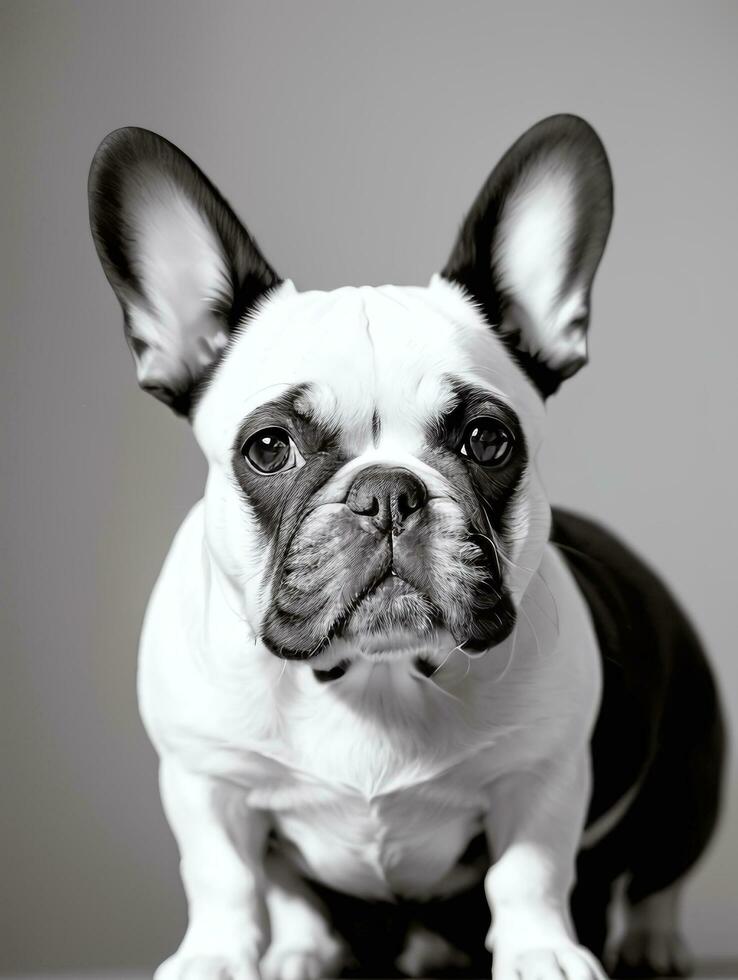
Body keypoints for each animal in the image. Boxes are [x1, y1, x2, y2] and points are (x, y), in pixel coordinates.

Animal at [89, 117, 720, 980]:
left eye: (487, 440)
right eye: (269, 448)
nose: (388, 492)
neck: (377, 677)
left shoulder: (542, 773)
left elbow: (530, 871)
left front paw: (541, 952)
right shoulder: (204, 776)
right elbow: (222, 877)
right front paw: (214, 958)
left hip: (687, 783)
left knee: (659, 872)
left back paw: (653, 943)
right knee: (290, 888)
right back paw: (302, 950)